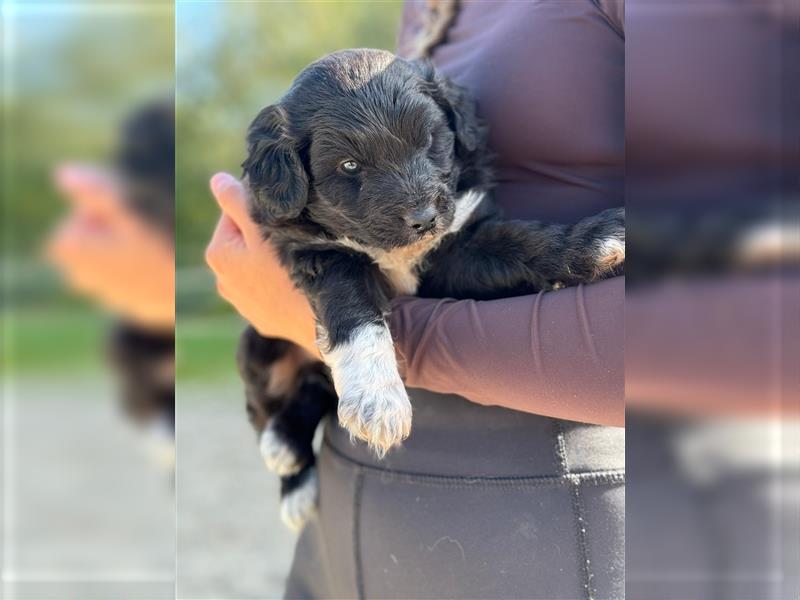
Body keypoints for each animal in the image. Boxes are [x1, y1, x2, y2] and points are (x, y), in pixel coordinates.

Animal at [234, 50, 620, 528]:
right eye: (349, 165)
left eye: (430, 140)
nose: (422, 217)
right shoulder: (321, 254)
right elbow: (354, 312)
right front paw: (377, 397)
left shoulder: (456, 249)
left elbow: (520, 241)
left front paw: (592, 240)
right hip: (257, 350)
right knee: (266, 406)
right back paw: (289, 463)